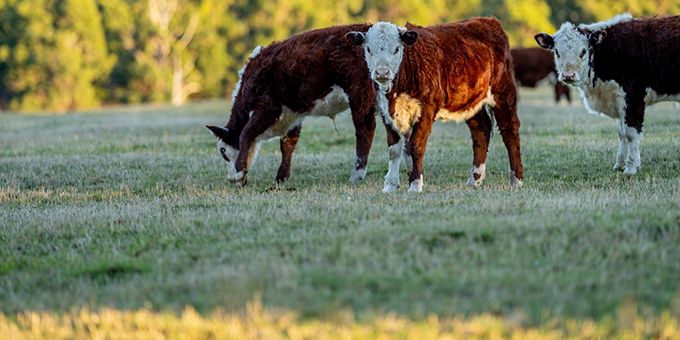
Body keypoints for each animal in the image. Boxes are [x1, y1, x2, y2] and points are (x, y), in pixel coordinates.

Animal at [207, 23, 378, 186]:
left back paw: (356, 175)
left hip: (359, 94)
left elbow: (246, 134)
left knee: (365, 129)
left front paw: (238, 173)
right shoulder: (293, 114)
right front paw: (280, 179)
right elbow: (287, 144)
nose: (229, 179)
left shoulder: (268, 108)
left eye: (223, 151)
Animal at [348, 18, 524, 193]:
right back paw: (475, 180)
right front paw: (390, 185)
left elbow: (416, 146)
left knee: (510, 131)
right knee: (481, 131)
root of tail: (489, 21)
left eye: (397, 49)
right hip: (470, 102)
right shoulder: (385, 111)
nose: (382, 73)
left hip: (503, 93)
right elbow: (394, 150)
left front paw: (415, 184)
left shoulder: (426, 110)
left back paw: (516, 180)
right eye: (368, 49)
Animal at [536, 13, 680, 175]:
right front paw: (620, 164)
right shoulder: (619, 100)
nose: (568, 75)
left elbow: (630, 133)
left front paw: (631, 168)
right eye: (557, 52)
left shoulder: (633, 98)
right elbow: (621, 133)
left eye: (583, 51)